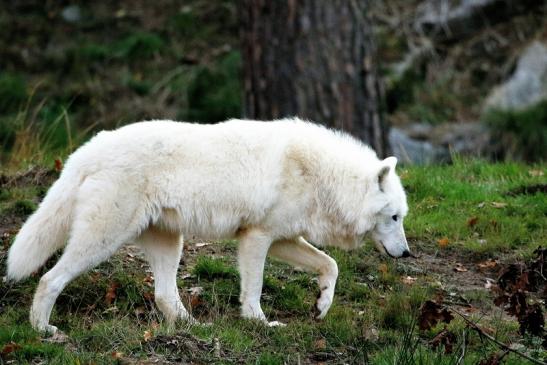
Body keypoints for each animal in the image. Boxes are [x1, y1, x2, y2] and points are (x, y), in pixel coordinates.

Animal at [5, 118, 412, 332]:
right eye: (394, 218)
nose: (407, 253)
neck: (321, 176)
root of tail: (87, 150)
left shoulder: (282, 238)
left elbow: (332, 265)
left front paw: (322, 305)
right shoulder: (257, 238)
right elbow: (254, 289)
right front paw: (259, 323)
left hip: (170, 244)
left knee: (164, 296)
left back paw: (195, 329)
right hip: (102, 240)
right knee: (49, 278)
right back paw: (43, 330)